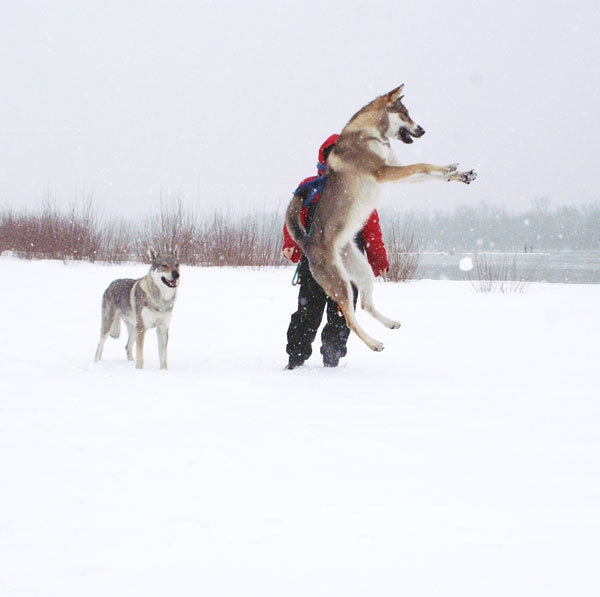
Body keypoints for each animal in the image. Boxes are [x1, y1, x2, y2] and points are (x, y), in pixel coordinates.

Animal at [285, 84, 476, 352]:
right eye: (405, 113)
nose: (422, 130)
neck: (370, 134)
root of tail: (307, 244)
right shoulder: (385, 171)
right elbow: (423, 163)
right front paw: (450, 169)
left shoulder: (397, 170)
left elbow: (431, 172)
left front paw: (460, 174)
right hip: (341, 284)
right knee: (349, 318)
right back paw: (374, 343)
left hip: (362, 271)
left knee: (365, 305)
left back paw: (390, 323)